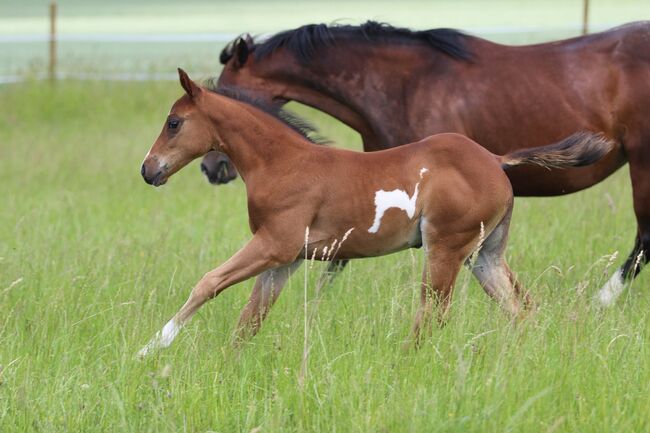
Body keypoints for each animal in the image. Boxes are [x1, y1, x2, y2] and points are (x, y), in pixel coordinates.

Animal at [137, 69, 612, 356]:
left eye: (174, 122)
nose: (148, 169)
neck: (283, 163)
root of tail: (496, 160)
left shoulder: (273, 246)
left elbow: (207, 283)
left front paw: (151, 347)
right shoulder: (286, 260)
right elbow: (248, 321)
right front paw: (229, 363)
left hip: (444, 249)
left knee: (434, 315)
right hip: (484, 255)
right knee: (520, 308)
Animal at [205, 20, 648, 304]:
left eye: (224, 91)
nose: (211, 169)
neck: (403, 85)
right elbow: (338, 260)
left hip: (642, 165)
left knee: (644, 240)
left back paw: (600, 301)